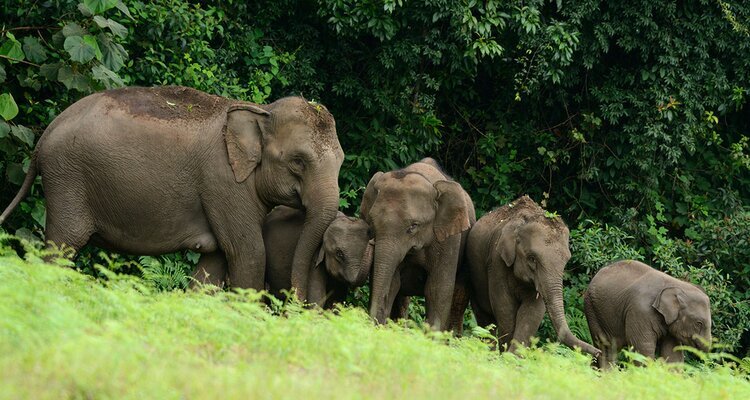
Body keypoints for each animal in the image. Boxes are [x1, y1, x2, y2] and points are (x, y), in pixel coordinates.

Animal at [0, 86, 344, 300]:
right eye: (298, 161)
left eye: (341, 161)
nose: (296, 304)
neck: (260, 111)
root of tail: (44, 137)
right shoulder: (223, 182)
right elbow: (248, 252)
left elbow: (216, 261)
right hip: (66, 179)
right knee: (61, 247)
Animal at [466, 195, 600, 357]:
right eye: (532, 258)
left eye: (566, 260)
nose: (598, 352)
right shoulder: (496, 261)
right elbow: (505, 308)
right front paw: (506, 356)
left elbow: (533, 311)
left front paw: (514, 356)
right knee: (485, 318)